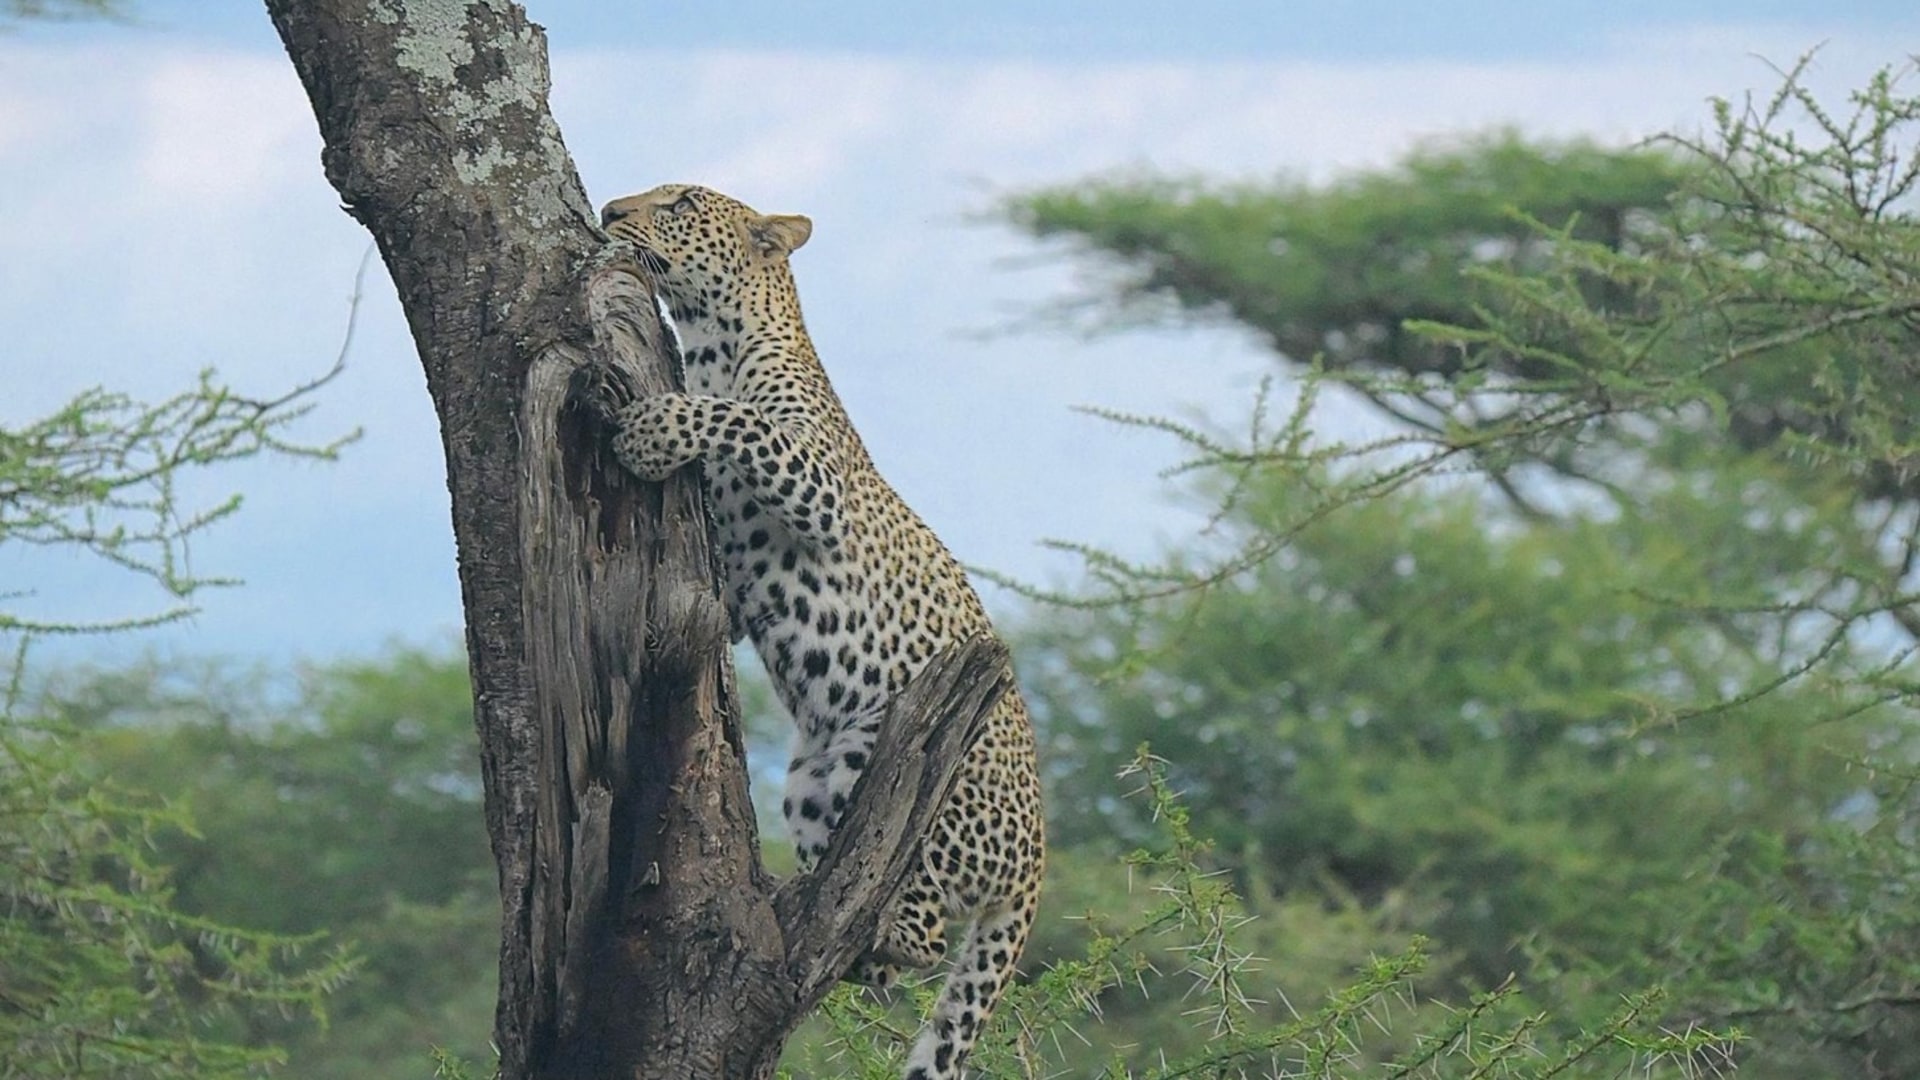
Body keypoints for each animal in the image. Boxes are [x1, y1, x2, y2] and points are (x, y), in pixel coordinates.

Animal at [594, 182, 1045, 1080]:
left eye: (682, 200)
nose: (611, 211)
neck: (717, 341)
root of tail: (1037, 863)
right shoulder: (733, 594)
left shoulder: (818, 484)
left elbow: (734, 417)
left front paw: (654, 432)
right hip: (809, 780)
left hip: (892, 760)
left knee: (925, 932)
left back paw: (880, 931)